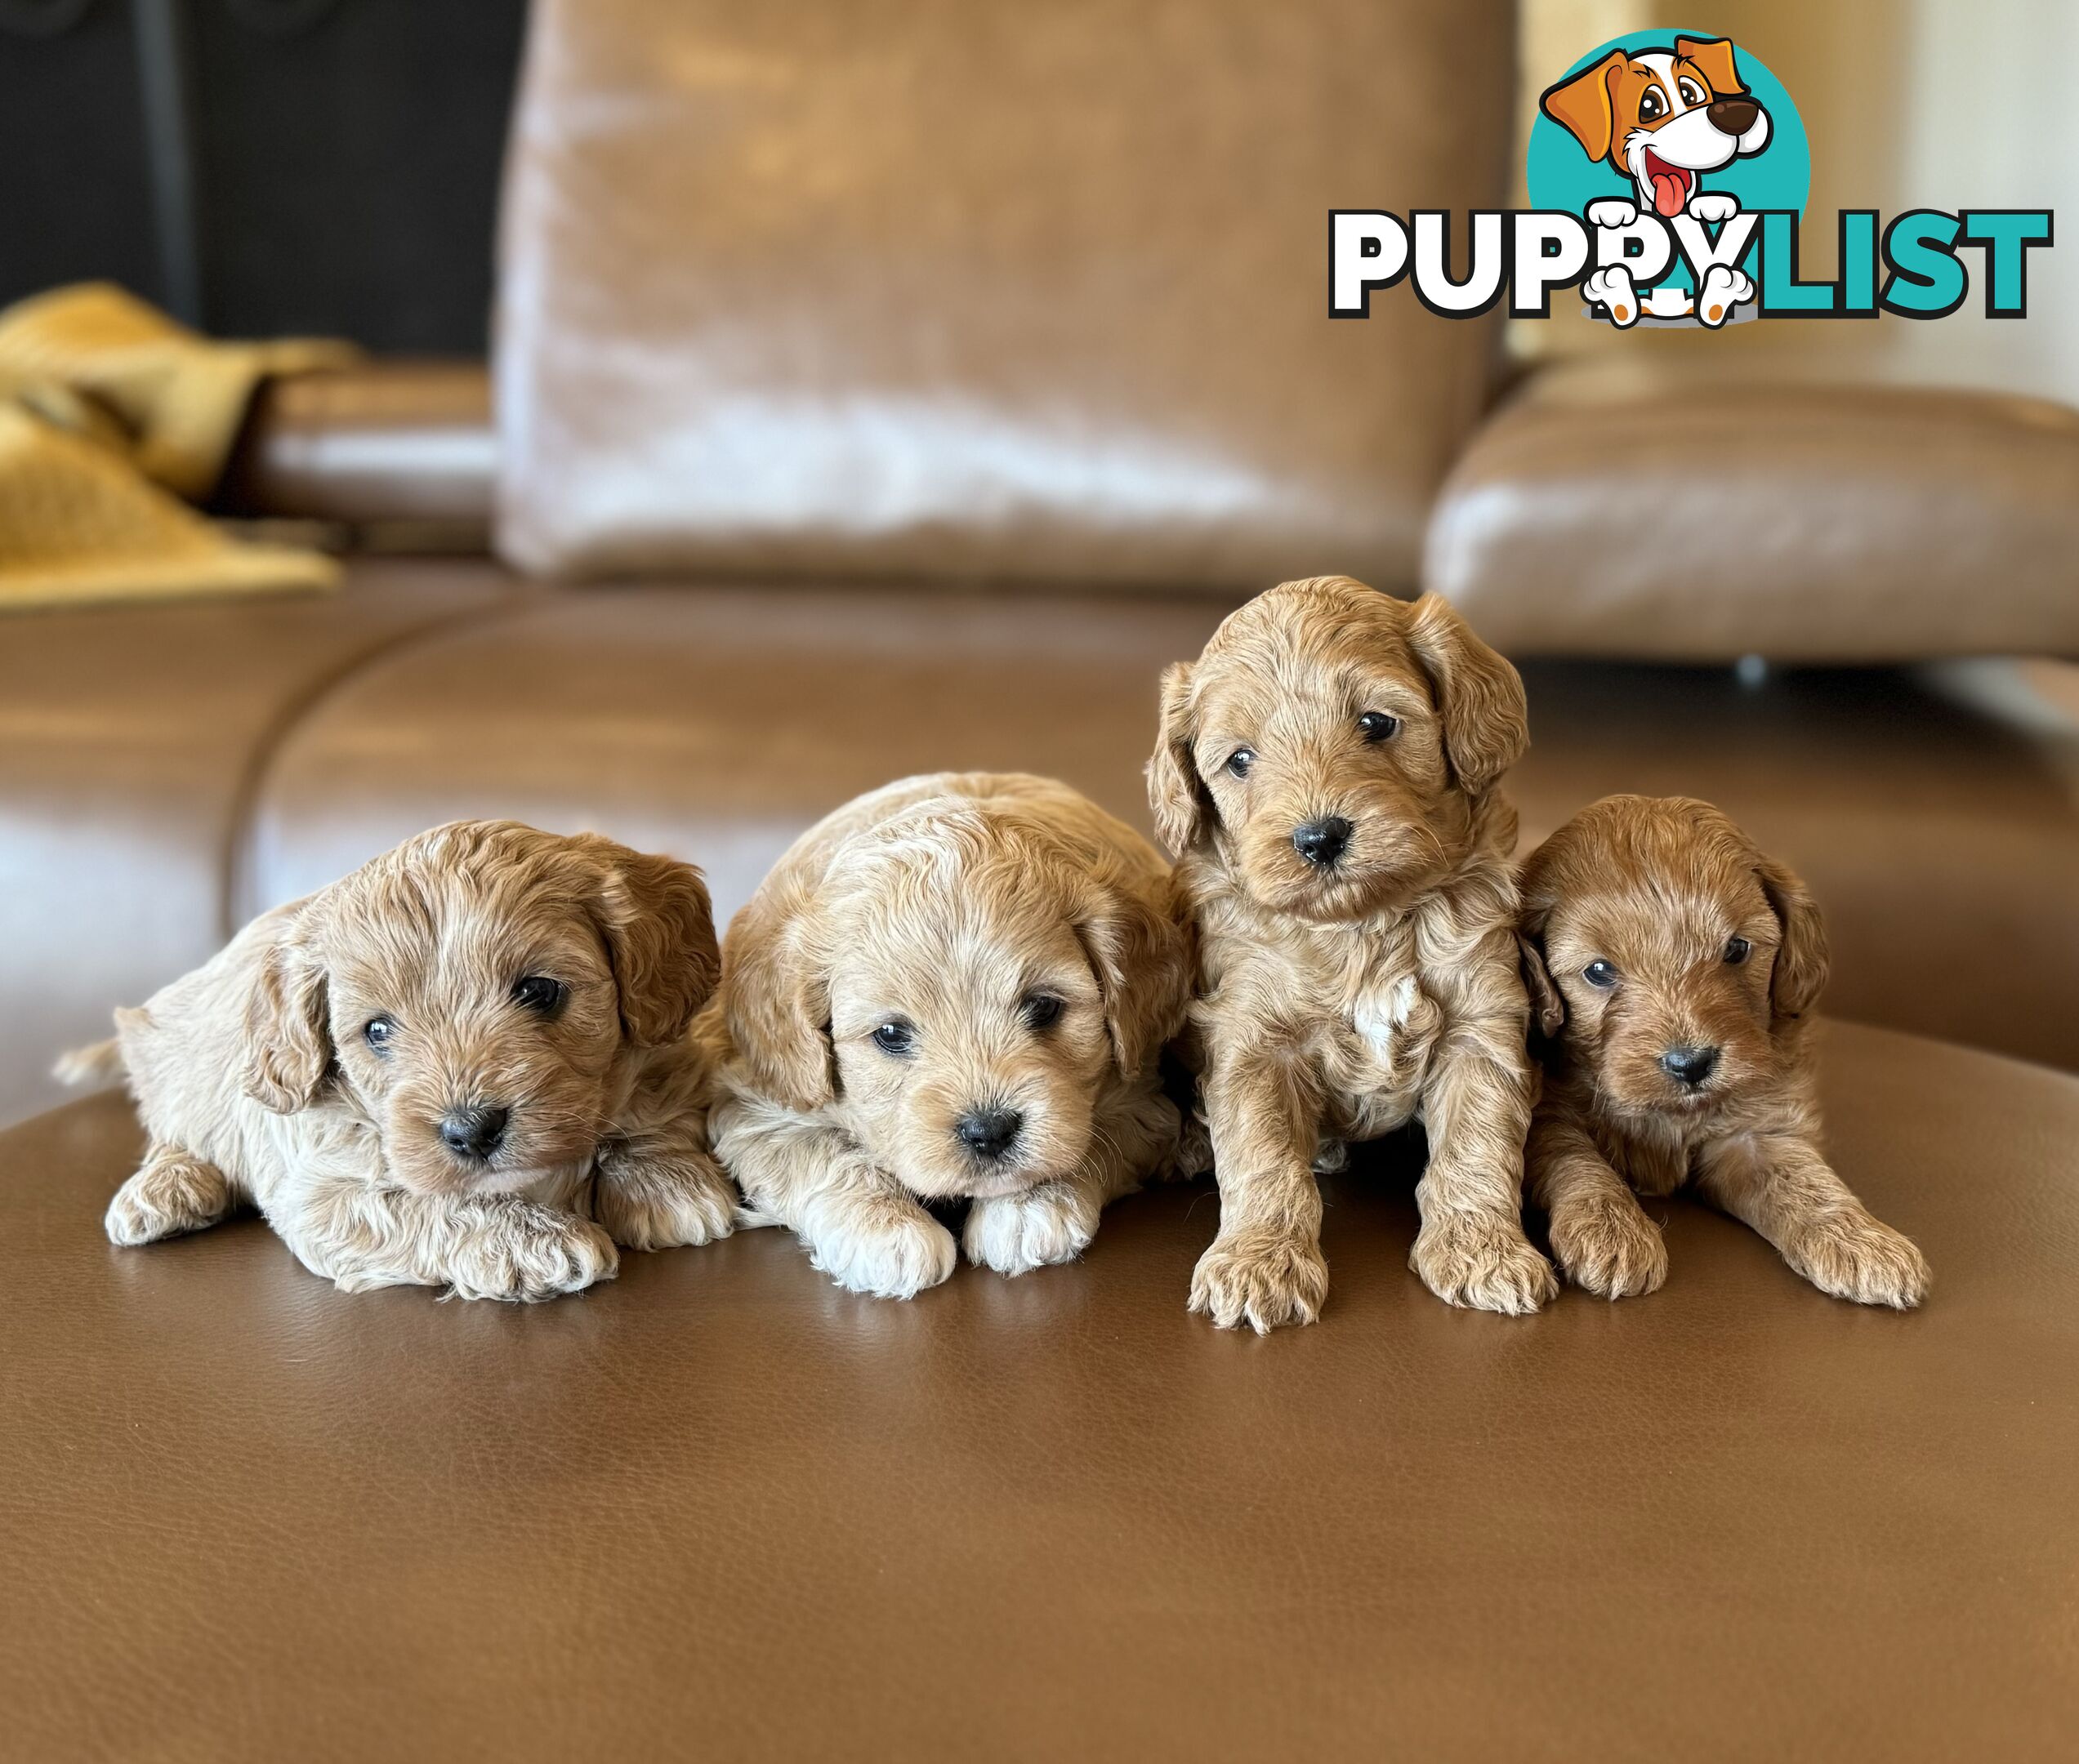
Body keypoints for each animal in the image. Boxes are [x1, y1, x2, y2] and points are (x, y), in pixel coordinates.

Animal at [67, 818, 731, 1304]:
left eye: (540, 991)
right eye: (378, 1031)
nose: (471, 1131)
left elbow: (651, 1098)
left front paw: (665, 1181)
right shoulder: (322, 1189)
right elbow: (426, 1203)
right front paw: (530, 1240)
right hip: (178, 1061)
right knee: (173, 1127)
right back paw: (164, 1189)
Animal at [711, 768, 1197, 1296]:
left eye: (1044, 1006)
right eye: (890, 1033)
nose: (989, 1131)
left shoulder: (1142, 1093)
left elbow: (1092, 1134)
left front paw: (1029, 1207)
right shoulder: (760, 1103)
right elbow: (817, 1150)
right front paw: (887, 1231)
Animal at [1156, 569, 1563, 1330]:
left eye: (1375, 723)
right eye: (1240, 760)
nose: (1319, 837)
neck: (1363, 927)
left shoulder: (1480, 1023)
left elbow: (1478, 1142)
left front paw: (1482, 1250)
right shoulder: (1251, 1037)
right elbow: (1261, 1155)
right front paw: (1258, 1262)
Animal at [1513, 797, 1929, 1304]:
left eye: (1736, 949)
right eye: (1598, 971)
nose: (1690, 1064)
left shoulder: (1757, 1131)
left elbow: (1806, 1183)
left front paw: (1862, 1240)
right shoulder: (1549, 1116)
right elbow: (1578, 1160)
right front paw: (1611, 1231)